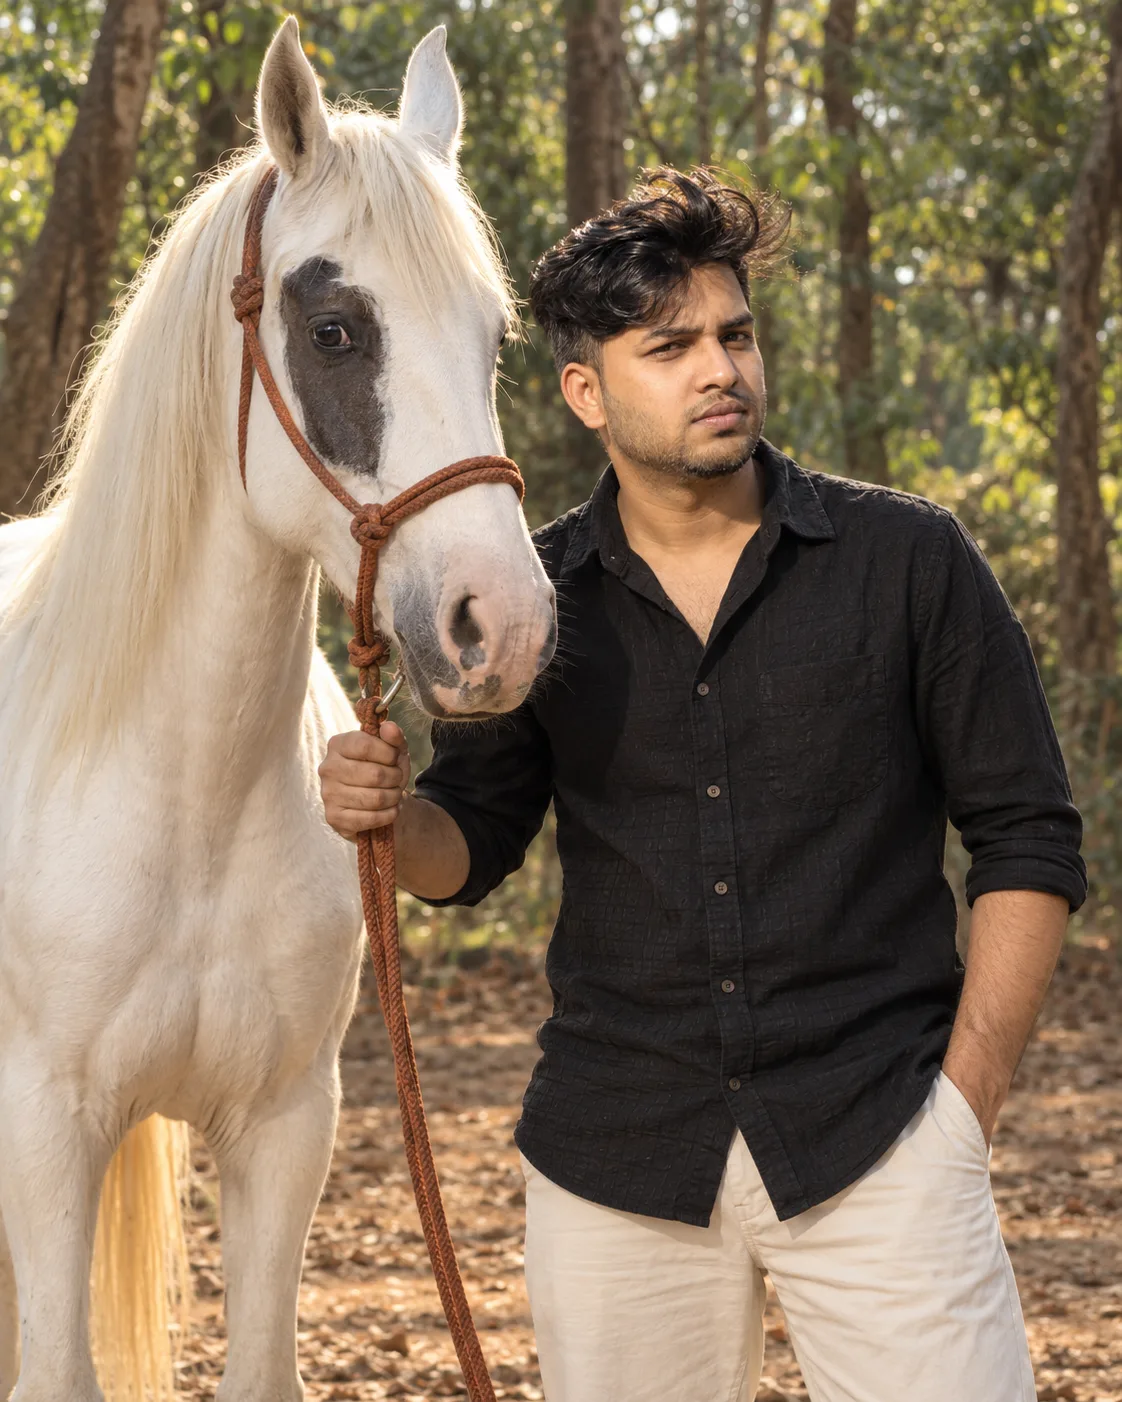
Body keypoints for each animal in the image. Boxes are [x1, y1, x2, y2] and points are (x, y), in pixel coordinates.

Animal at [0, 20, 556, 1402]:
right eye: (336, 330)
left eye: (493, 336)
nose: (505, 626)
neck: (178, 789)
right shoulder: (43, 1124)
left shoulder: (288, 1128)